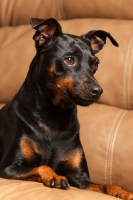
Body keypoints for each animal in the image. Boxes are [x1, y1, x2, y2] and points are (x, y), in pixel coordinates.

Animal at [0, 18, 132, 199]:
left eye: (95, 64)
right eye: (69, 60)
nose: (98, 91)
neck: (56, 117)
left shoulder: (80, 179)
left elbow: (106, 185)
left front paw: (123, 192)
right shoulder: (8, 168)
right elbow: (43, 166)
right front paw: (55, 176)